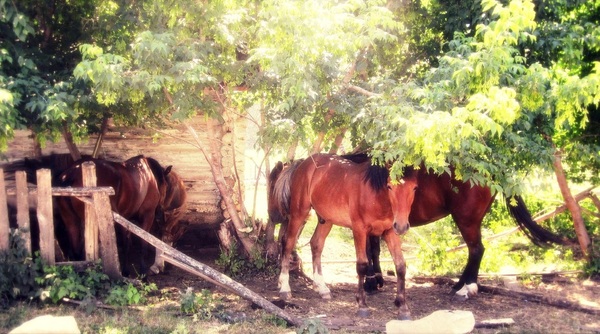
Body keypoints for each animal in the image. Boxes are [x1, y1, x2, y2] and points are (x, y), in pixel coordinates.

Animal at [272, 154, 418, 318]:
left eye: (414, 188)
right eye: (389, 186)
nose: (402, 226)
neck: (374, 195)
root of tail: (303, 163)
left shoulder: (390, 231)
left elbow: (400, 266)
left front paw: (403, 307)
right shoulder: (359, 230)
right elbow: (362, 265)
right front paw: (362, 305)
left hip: (326, 219)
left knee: (316, 244)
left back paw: (322, 288)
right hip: (299, 213)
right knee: (288, 243)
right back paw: (285, 288)